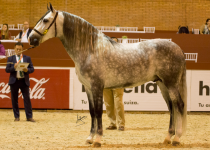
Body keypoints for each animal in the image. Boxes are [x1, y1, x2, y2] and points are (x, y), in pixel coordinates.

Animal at [28, 3, 187, 148]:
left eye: (45, 20)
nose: (30, 39)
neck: (91, 50)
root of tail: (178, 49)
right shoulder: (88, 88)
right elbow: (92, 112)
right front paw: (90, 138)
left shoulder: (97, 87)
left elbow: (99, 112)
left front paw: (98, 140)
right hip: (162, 84)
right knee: (171, 107)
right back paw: (167, 138)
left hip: (171, 84)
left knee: (179, 105)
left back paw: (177, 138)